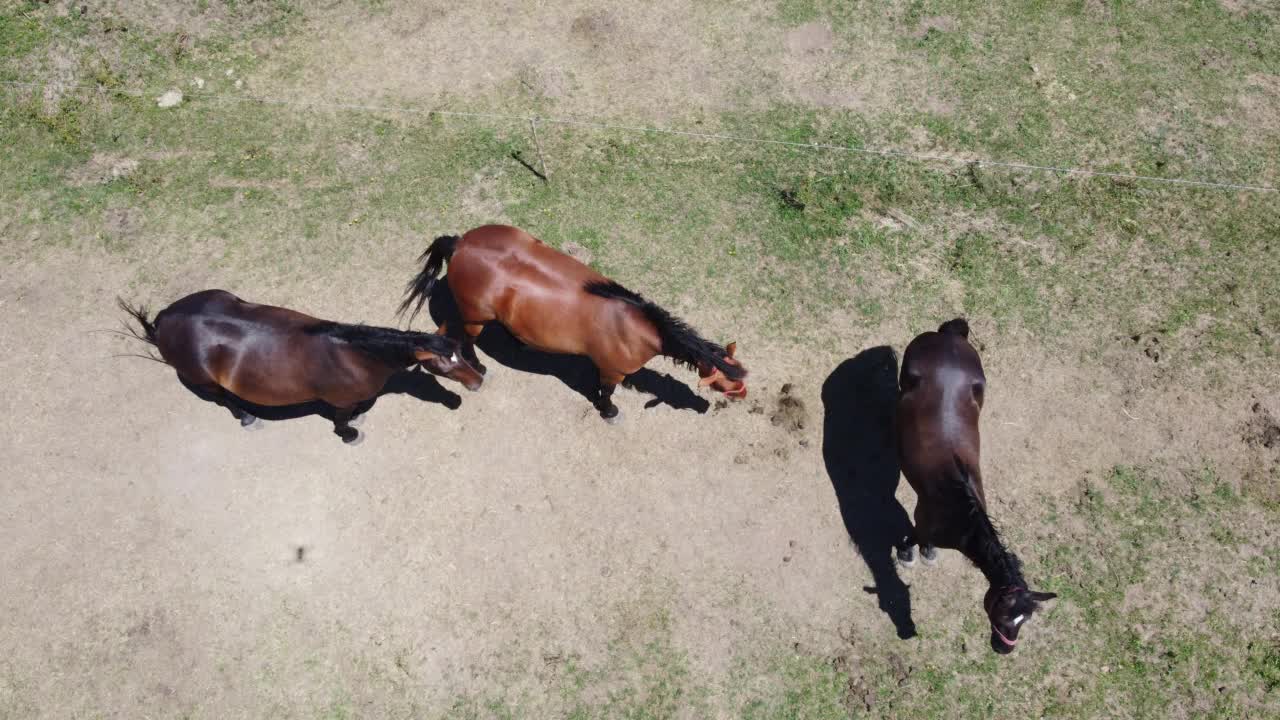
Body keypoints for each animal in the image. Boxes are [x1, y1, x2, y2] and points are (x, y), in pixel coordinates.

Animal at [119, 288, 481, 440]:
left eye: (462, 353)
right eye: (442, 368)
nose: (478, 382)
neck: (354, 356)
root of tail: (165, 320)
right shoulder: (339, 402)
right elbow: (341, 421)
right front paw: (349, 433)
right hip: (206, 382)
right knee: (223, 399)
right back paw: (246, 416)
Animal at [394, 221, 747, 417]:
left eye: (740, 372)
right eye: (729, 381)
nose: (742, 395)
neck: (635, 325)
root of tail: (461, 243)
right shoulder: (612, 371)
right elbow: (608, 393)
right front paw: (609, 411)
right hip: (474, 318)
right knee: (468, 341)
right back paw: (480, 366)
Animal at [896, 317, 1054, 650]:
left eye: (1025, 620)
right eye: (1005, 616)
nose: (1003, 650)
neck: (960, 512)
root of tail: (950, 337)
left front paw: (927, 554)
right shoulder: (922, 518)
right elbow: (914, 535)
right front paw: (908, 555)